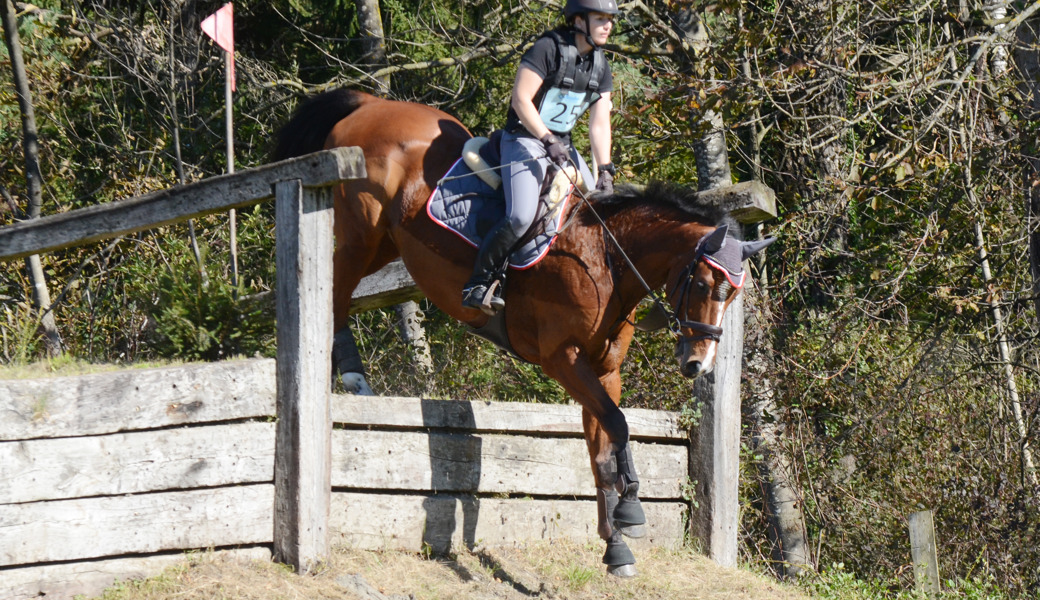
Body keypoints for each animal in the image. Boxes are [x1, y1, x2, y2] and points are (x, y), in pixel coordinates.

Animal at [272, 88, 777, 574]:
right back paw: (353, 376)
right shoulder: (562, 357)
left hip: (384, 243)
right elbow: (617, 424)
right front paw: (632, 510)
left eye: (733, 294)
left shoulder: (603, 370)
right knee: (334, 292)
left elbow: (602, 448)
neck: (605, 258)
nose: (699, 364)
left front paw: (616, 548)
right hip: (363, 230)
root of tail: (372, 102)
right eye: (705, 283)